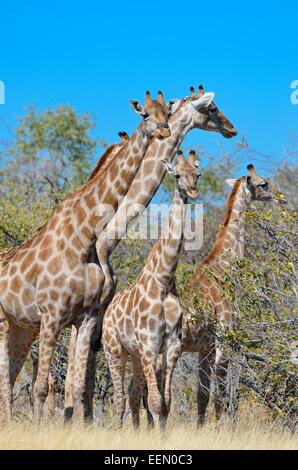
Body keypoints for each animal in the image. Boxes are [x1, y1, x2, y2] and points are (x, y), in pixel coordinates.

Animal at [102, 151, 200, 430]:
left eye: (197, 174)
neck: (164, 281)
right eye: (177, 175)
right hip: (114, 349)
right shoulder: (149, 343)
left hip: (135, 354)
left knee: (134, 392)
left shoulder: (172, 345)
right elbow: (155, 402)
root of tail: (108, 311)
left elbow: (166, 403)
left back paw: (135, 432)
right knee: (119, 398)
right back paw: (120, 432)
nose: (193, 190)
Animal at [154, 163, 282, 424]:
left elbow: (202, 395)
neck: (224, 267)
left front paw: (201, 428)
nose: (276, 196)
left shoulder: (206, 347)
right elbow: (221, 395)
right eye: (263, 183)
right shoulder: (225, 337)